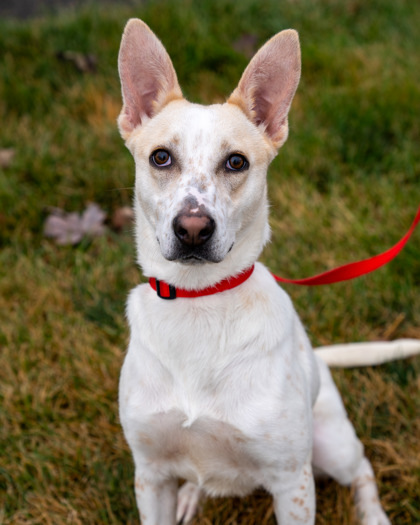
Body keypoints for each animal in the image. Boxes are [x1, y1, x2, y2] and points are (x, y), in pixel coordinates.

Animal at [116, 18, 418, 520]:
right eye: (161, 157)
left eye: (236, 162)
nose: (193, 229)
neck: (198, 302)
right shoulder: (150, 474)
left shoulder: (292, 480)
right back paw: (192, 495)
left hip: (332, 444)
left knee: (362, 471)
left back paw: (374, 516)